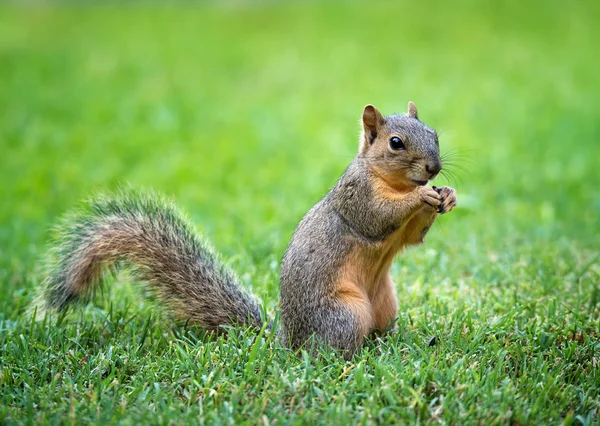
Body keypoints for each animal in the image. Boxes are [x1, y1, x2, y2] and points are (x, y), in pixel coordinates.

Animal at [37, 102, 458, 356]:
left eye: (435, 134)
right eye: (396, 143)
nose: (434, 168)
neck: (389, 181)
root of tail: (287, 342)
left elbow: (413, 237)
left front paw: (447, 195)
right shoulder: (356, 198)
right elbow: (377, 218)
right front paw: (421, 196)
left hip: (386, 304)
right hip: (344, 312)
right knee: (334, 349)